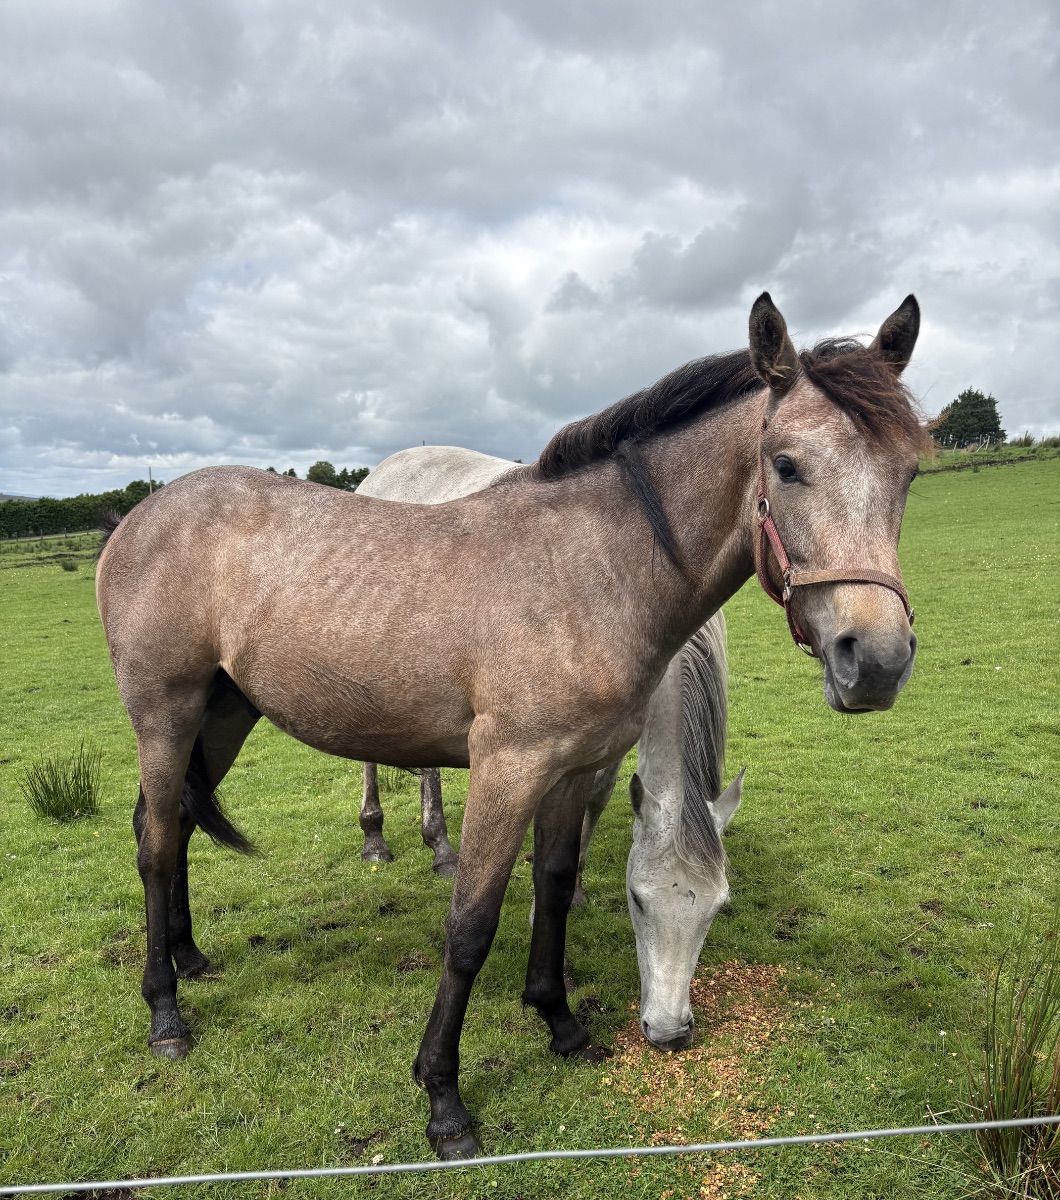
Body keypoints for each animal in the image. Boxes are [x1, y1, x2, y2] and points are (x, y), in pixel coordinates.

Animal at [96, 292, 926, 1158]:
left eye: (909, 471)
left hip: (223, 714)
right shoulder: (509, 768)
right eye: (787, 465)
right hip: (166, 714)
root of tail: (137, 517)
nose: (875, 661)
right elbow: (470, 924)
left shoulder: (576, 770)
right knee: (154, 843)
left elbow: (554, 887)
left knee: (173, 828)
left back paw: (191, 957)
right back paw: (166, 1013)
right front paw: (444, 1101)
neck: (589, 570)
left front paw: (560, 1024)